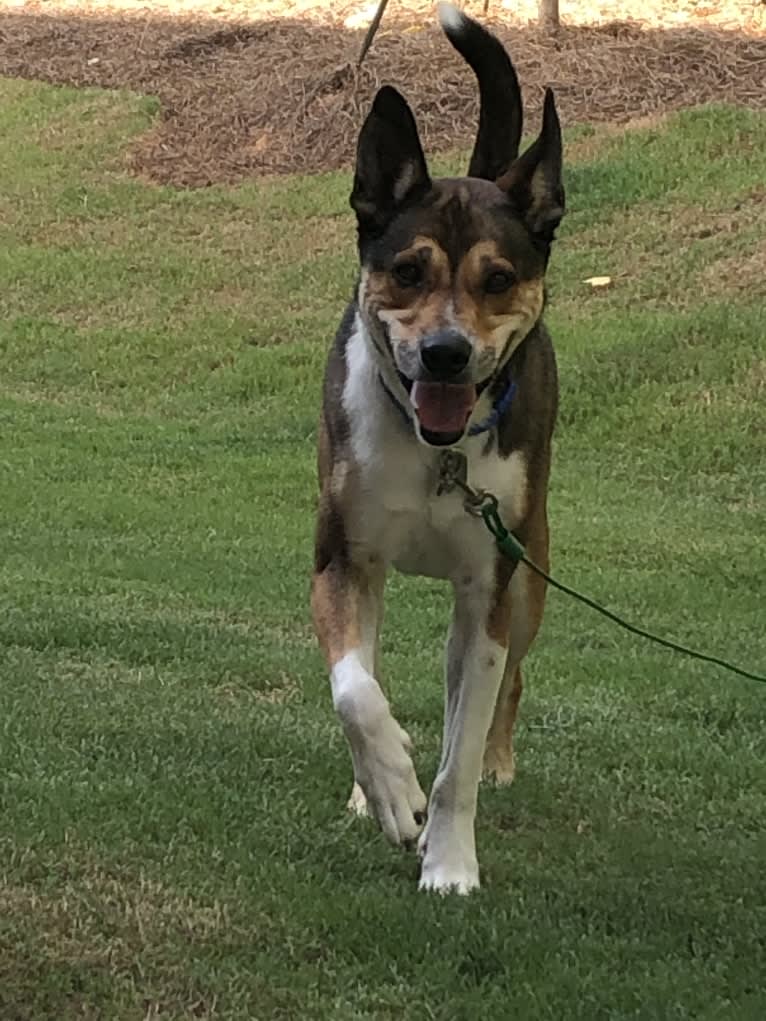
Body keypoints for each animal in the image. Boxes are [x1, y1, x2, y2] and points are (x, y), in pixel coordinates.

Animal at [308, 1, 567, 894]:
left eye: (498, 278)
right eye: (409, 270)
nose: (447, 354)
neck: (434, 451)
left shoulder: (489, 587)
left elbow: (459, 750)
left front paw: (450, 862)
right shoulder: (342, 556)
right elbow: (356, 691)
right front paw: (388, 784)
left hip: (530, 571)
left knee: (508, 681)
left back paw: (495, 760)